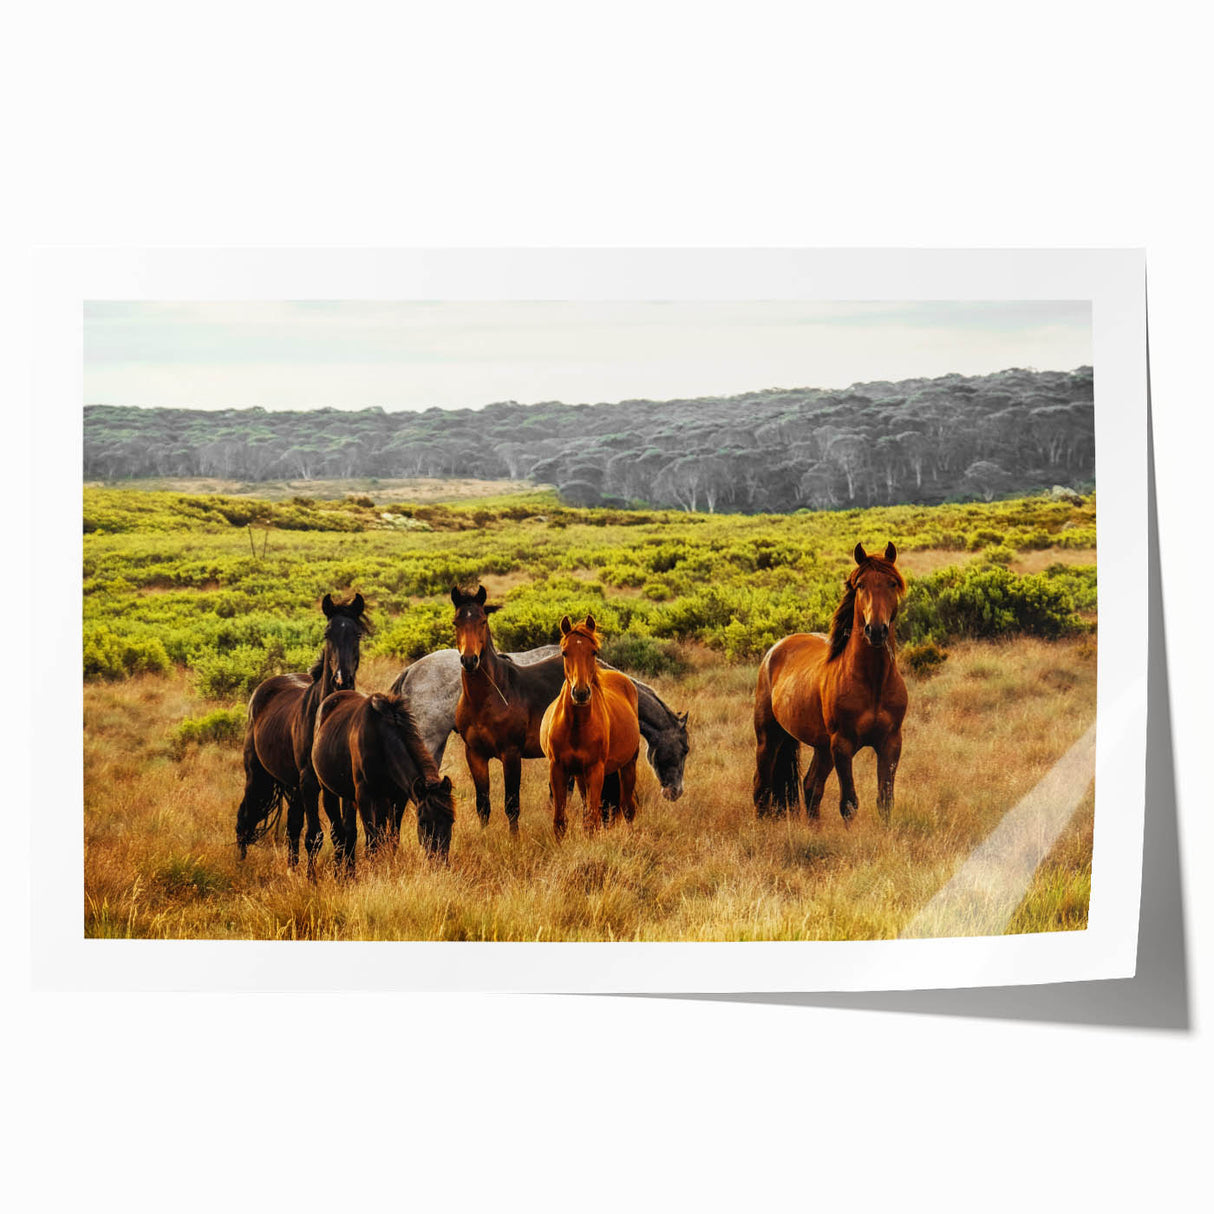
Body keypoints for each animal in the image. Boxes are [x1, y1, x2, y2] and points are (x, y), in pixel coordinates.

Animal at [235, 593, 370, 877]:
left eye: (357, 634)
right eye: (327, 633)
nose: (342, 679)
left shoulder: (341, 785)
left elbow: (346, 833)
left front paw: (347, 876)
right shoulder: (309, 781)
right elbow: (316, 835)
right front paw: (313, 880)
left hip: (292, 786)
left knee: (292, 827)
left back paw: (292, 868)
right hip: (258, 776)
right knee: (245, 818)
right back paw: (240, 864)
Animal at [311, 691, 456, 872]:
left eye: (451, 820)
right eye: (423, 823)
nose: (440, 863)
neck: (381, 740)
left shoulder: (398, 798)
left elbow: (391, 838)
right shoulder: (364, 797)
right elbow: (372, 842)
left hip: (357, 798)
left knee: (350, 832)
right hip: (328, 791)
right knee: (337, 833)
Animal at [540, 615, 641, 839]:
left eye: (593, 651)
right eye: (564, 652)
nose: (580, 693)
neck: (577, 727)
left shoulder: (596, 770)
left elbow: (592, 821)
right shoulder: (558, 769)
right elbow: (560, 821)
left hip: (628, 765)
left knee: (628, 808)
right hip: (580, 775)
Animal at [753, 542, 908, 824]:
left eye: (892, 583)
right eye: (861, 585)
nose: (875, 630)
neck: (873, 682)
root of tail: (775, 650)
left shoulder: (890, 743)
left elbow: (885, 801)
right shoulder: (842, 745)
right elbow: (849, 803)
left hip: (821, 747)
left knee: (810, 786)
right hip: (769, 737)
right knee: (761, 785)